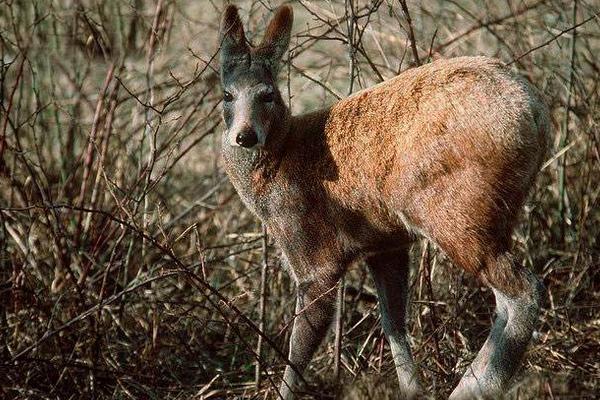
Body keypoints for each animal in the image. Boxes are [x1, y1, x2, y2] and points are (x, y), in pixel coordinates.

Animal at [219, 3, 548, 400]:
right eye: (227, 95)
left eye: (267, 94)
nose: (245, 136)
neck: (279, 161)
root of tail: (536, 111)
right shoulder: (385, 245)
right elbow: (394, 323)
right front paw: (412, 390)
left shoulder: (314, 257)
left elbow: (299, 350)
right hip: (495, 213)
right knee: (506, 298)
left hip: (458, 213)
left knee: (523, 291)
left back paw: (474, 386)